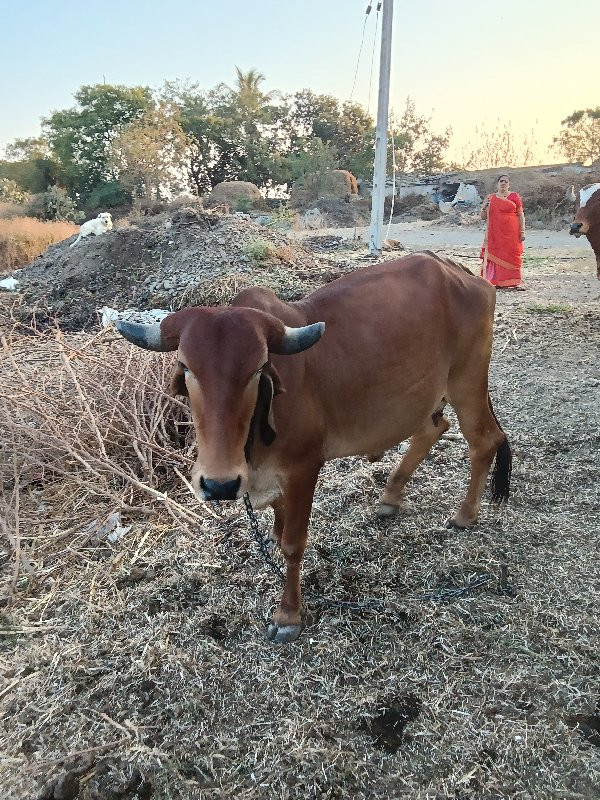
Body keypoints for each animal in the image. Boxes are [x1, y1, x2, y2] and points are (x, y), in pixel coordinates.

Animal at [116, 252, 510, 644]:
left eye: (259, 368)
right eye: (185, 366)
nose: (219, 484)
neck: (250, 446)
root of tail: (459, 272)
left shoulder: (304, 468)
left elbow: (292, 543)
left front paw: (288, 615)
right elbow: (277, 533)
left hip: (467, 381)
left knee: (484, 440)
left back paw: (464, 515)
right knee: (434, 429)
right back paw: (390, 497)